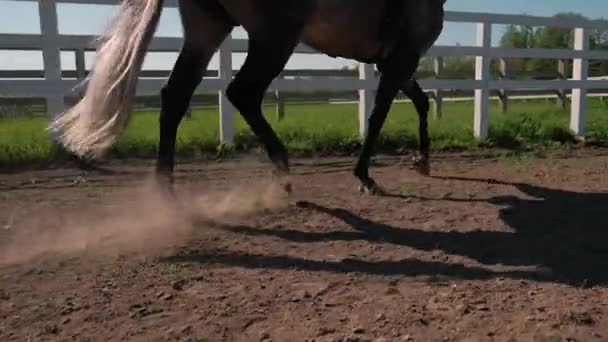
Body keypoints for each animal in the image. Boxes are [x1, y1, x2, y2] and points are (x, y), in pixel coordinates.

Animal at [48, 0, 446, 195]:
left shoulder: (395, 62)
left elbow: (419, 102)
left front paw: (423, 161)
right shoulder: (402, 59)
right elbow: (379, 115)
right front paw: (364, 176)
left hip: (208, 29)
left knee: (176, 95)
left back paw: (165, 190)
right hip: (275, 38)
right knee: (242, 93)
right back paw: (282, 170)